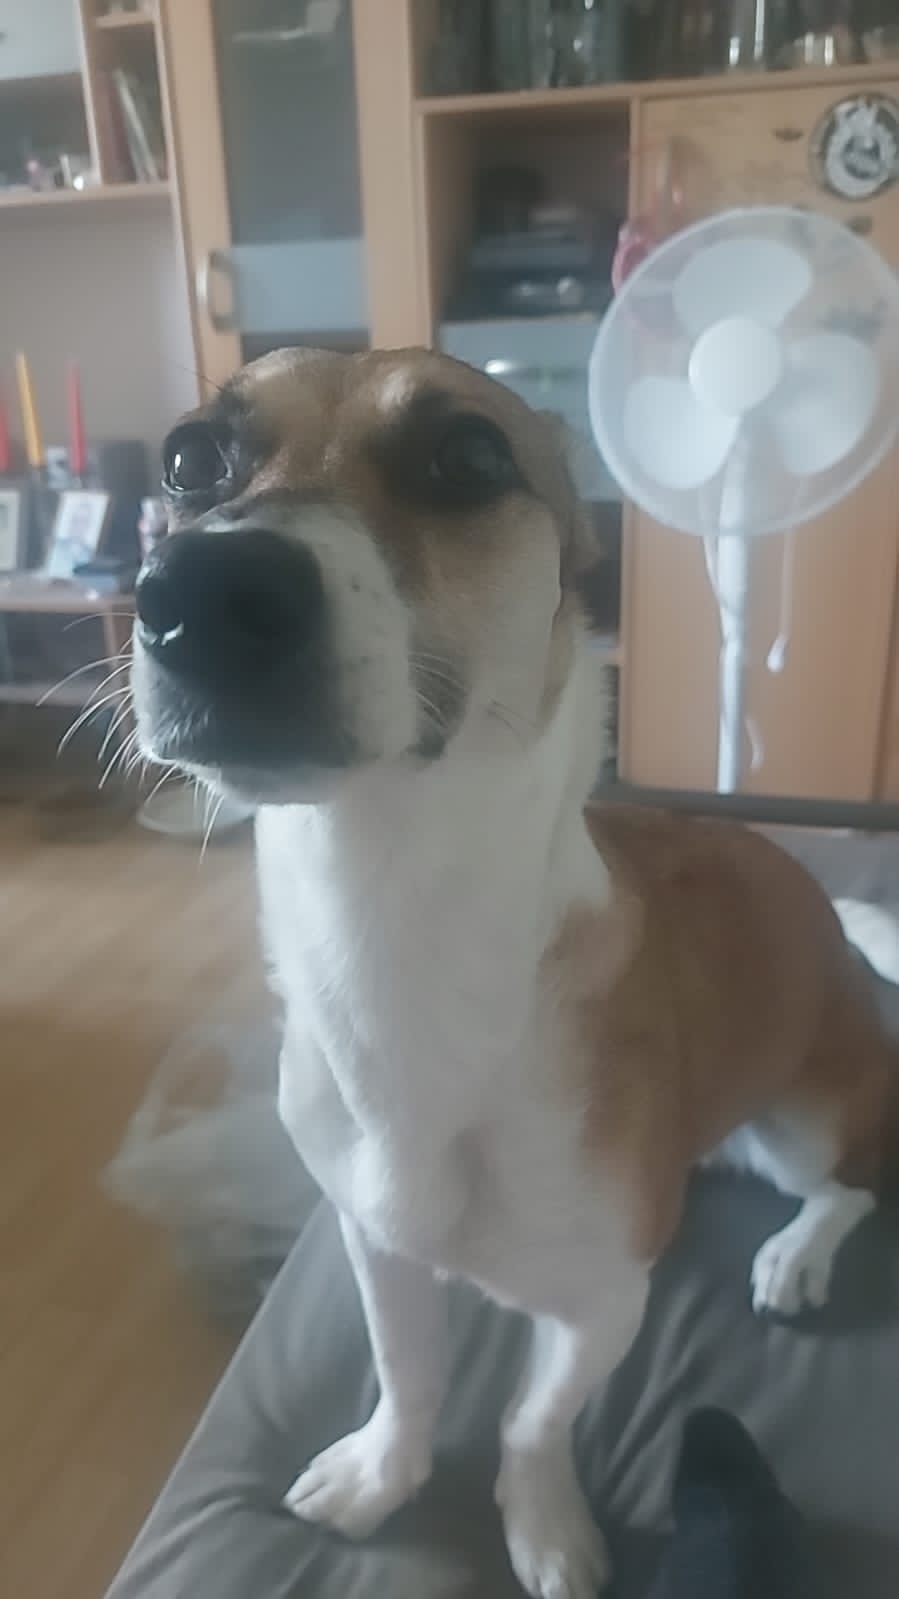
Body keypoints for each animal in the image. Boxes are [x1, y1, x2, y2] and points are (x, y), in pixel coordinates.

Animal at [132, 347, 898, 1599]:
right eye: (191, 458)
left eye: (469, 456)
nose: (196, 594)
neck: (388, 925)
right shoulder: (375, 1247)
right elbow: (410, 1373)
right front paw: (383, 1474)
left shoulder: (600, 1311)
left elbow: (531, 1422)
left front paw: (545, 1527)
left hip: (800, 1121)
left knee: (847, 1189)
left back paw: (792, 1254)